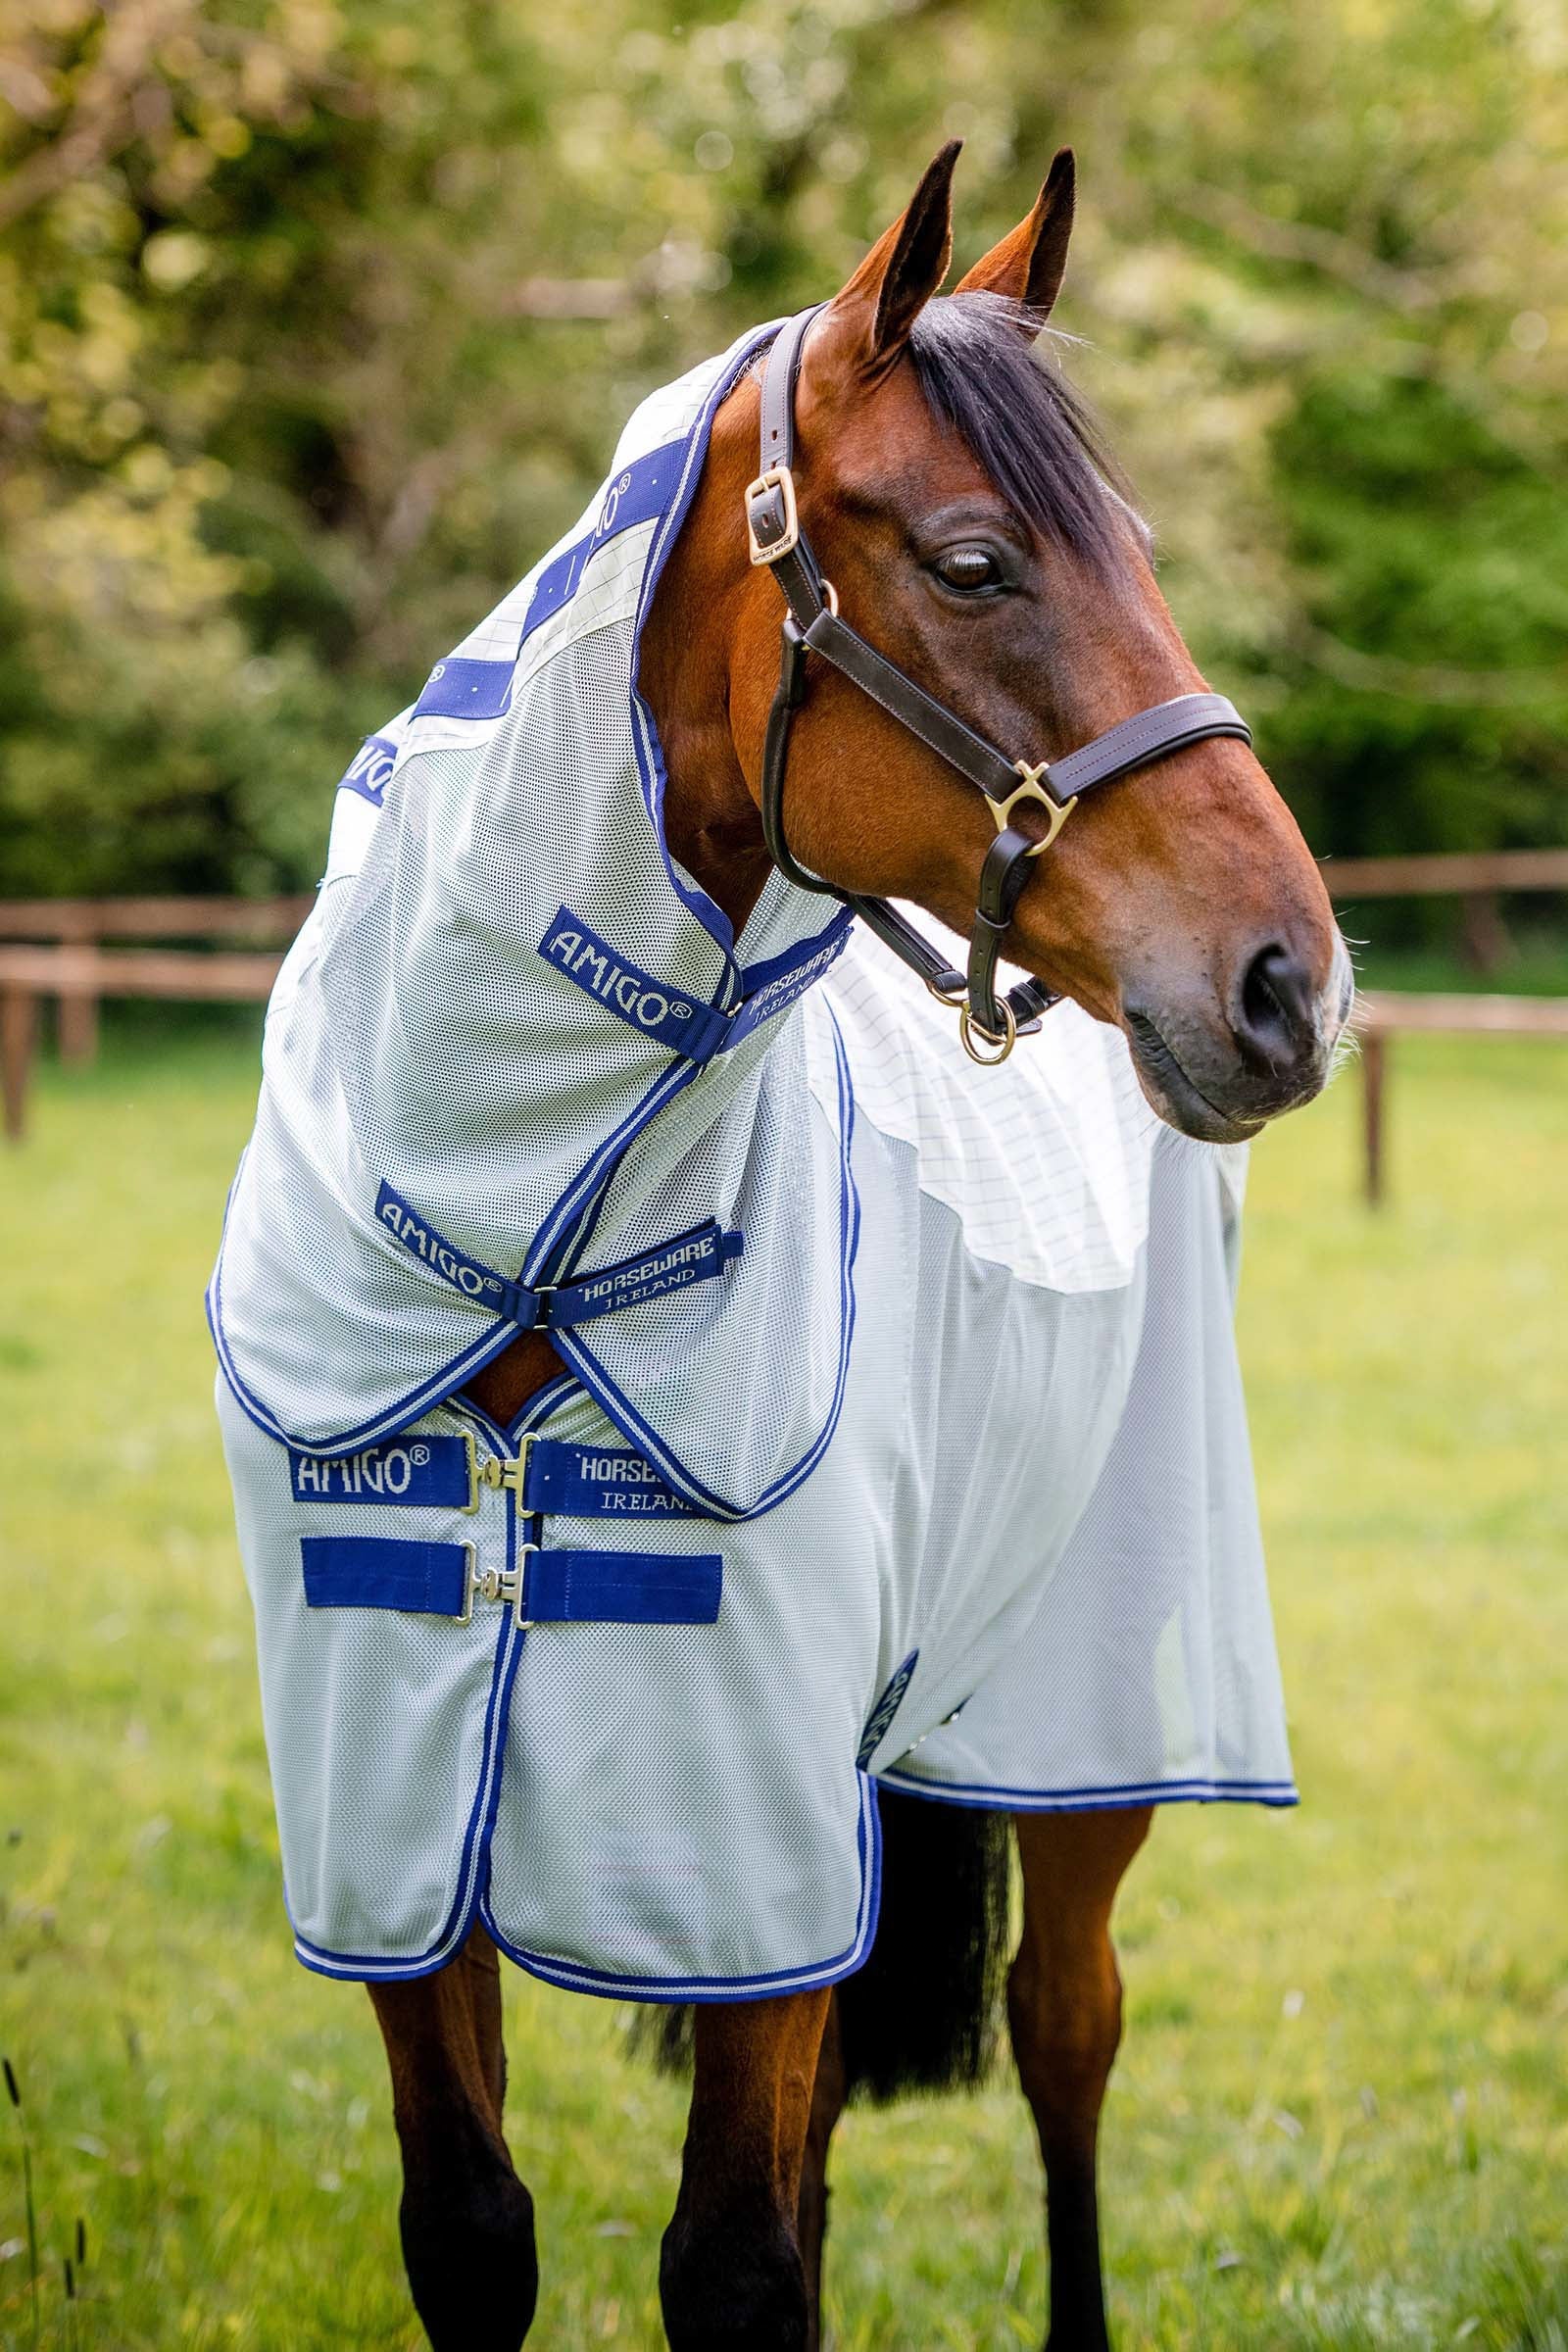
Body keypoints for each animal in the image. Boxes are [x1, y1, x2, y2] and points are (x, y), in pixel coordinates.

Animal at [211, 141, 1348, 2350]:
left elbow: (737, 2263)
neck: (517, 1239)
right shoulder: (399, 1824)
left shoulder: (742, 1836)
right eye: (978, 563)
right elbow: (482, 2232)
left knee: (1065, 2029)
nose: (1288, 985)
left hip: (1081, 1722)